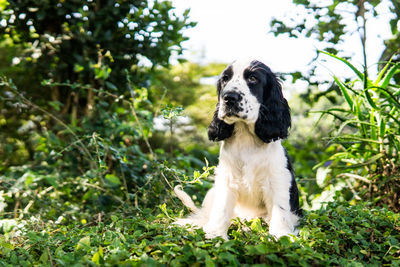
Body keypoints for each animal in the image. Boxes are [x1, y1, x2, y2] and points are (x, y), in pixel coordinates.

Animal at [173, 59, 302, 241]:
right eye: (225, 79)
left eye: (253, 78)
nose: (229, 97)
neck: (246, 136)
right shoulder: (227, 177)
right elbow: (221, 208)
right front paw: (215, 233)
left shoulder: (278, 178)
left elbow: (280, 210)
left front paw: (281, 234)